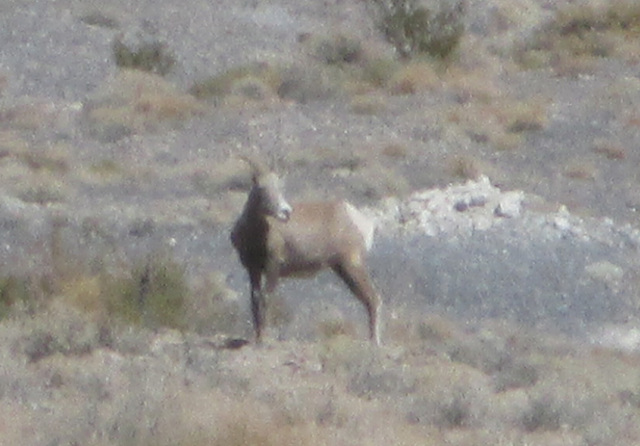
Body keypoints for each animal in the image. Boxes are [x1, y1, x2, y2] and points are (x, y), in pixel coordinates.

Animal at [230, 159, 380, 344]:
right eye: (262, 188)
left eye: (280, 187)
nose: (285, 211)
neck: (255, 233)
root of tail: (357, 217)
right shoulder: (253, 269)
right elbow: (255, 299)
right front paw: (258, 337)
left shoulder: (273, 267)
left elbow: (266, 298)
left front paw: (263, 339)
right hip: (343, 269)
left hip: (352, 265)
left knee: (373, 299)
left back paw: (374, 342)